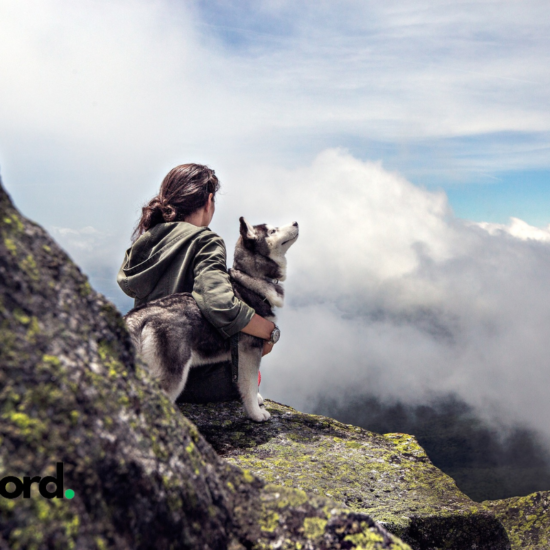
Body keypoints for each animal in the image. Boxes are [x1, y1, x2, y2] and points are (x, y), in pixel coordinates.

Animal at [123, 217, 300, 422]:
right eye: (273, 231)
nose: (296, 222)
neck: (250, 279)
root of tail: (139, 314)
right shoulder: (250, 350)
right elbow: (249, 384)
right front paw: (255, 413)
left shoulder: (239, 356)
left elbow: (246, 382)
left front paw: (256, 399)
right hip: (173, 373)